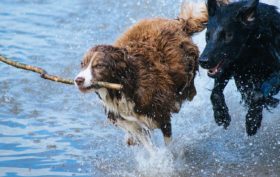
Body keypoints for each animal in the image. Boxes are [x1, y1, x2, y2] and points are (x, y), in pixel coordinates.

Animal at [75, 2, 207, 149]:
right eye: (82, 64)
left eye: (98, 66)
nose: (78, 80)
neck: (124, 86)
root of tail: (179, 23)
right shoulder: (132, 122)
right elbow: (148, 145)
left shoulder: (161, 115)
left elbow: (167, 144)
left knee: (188, 90)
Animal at [200, 0, 278, 136]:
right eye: (207, 35)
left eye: (227, 35)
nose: (203, 61)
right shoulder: (230, 66)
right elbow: (215, 93)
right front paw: (221, 115)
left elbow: (257, 95)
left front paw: (252, 121)